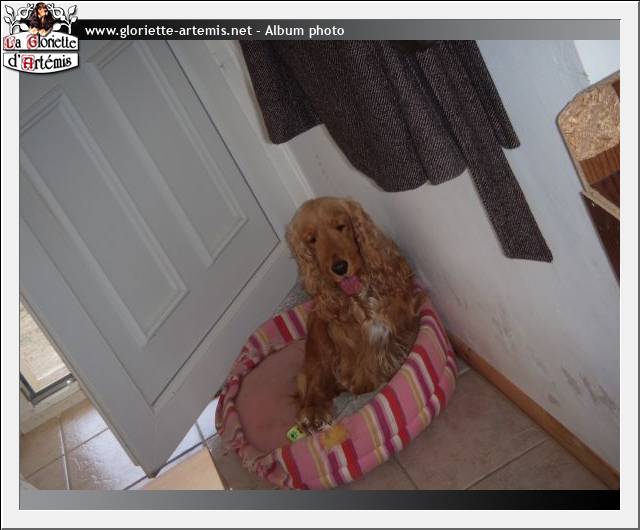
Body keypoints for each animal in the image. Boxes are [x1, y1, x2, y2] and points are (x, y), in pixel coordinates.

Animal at [286, 197, 425, 431]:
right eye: (312, 240)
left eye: (341, 226)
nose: (340, 267)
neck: (362, 296)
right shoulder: (356, 355)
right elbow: (364, 379)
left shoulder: (404, 320)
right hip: (318, 339)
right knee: (313, 383)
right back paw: (314, 413)